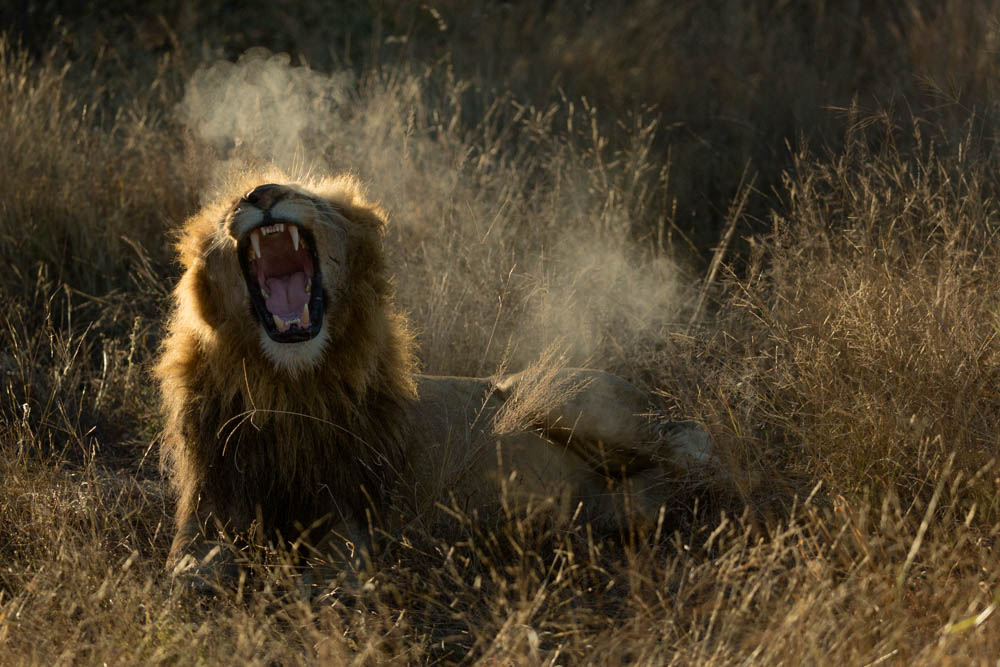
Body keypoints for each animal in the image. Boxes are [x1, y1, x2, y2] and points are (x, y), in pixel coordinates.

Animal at [156, 174, 712, 588]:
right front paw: (202, 581)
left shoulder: (357, 500)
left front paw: (326, 585)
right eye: (232, 205)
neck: (287, 385)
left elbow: (339, 553)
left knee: (689, 436)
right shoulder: (212, 498)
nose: (262, 193)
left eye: (305, 196)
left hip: (566, 398)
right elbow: (184, 564)